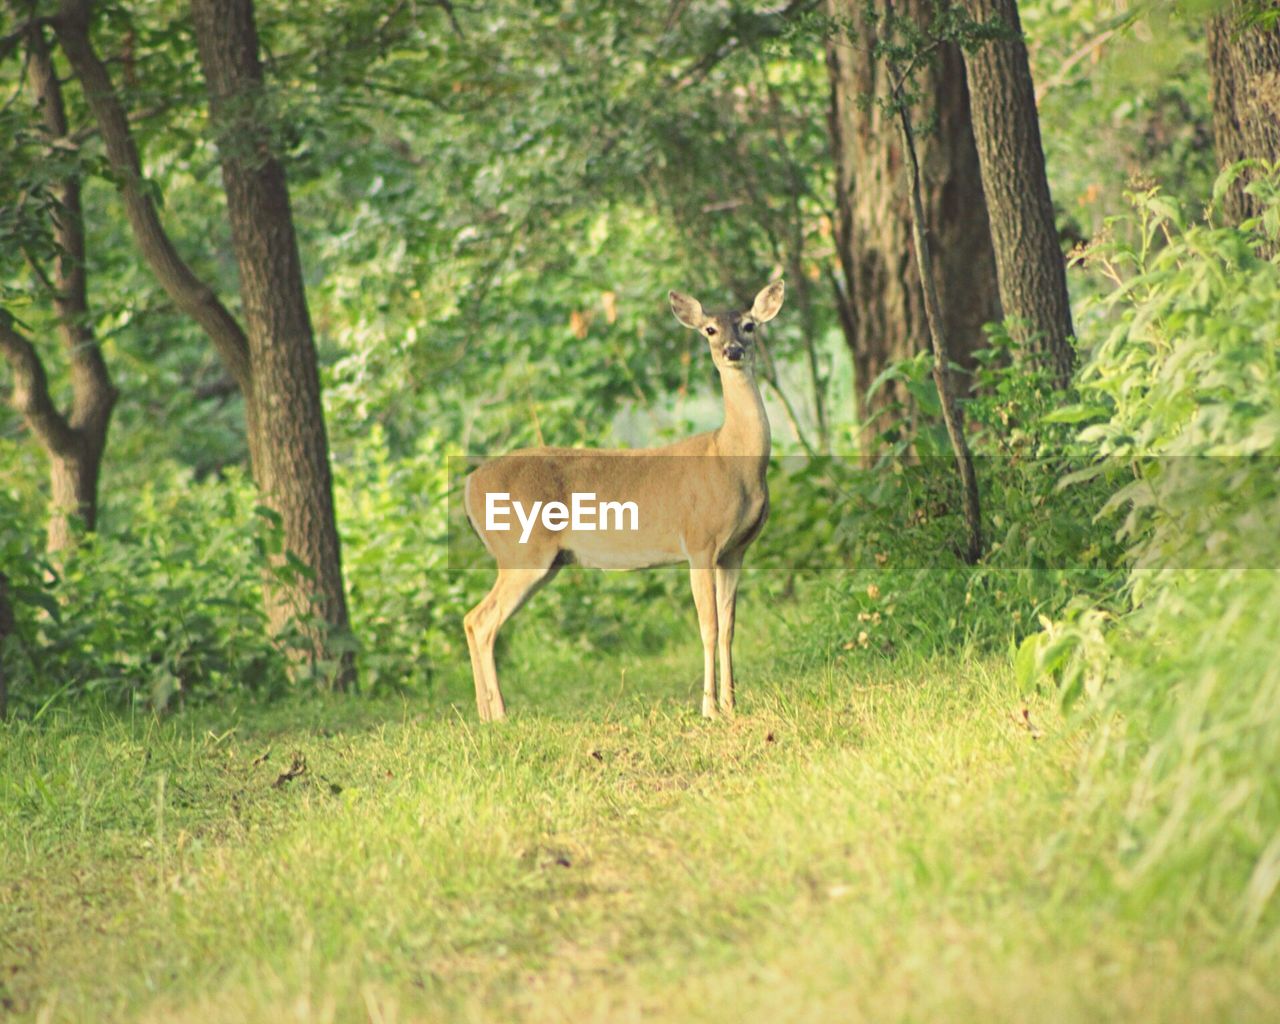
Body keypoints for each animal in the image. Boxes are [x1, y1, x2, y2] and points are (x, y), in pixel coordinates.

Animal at [460, 281, 778, 721]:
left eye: (748, 325)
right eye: (710, 330)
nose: (732, 350)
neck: (730, 456)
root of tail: (469, 486)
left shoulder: (735, 549)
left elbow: (729, 626)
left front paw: (731, 704)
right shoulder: (699, 541)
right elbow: (708, 626)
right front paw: (709, 709)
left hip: (545, 561)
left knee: (477, 621)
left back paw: (489, 716)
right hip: (521, 551)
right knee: (480, 619)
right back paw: (499, 716)